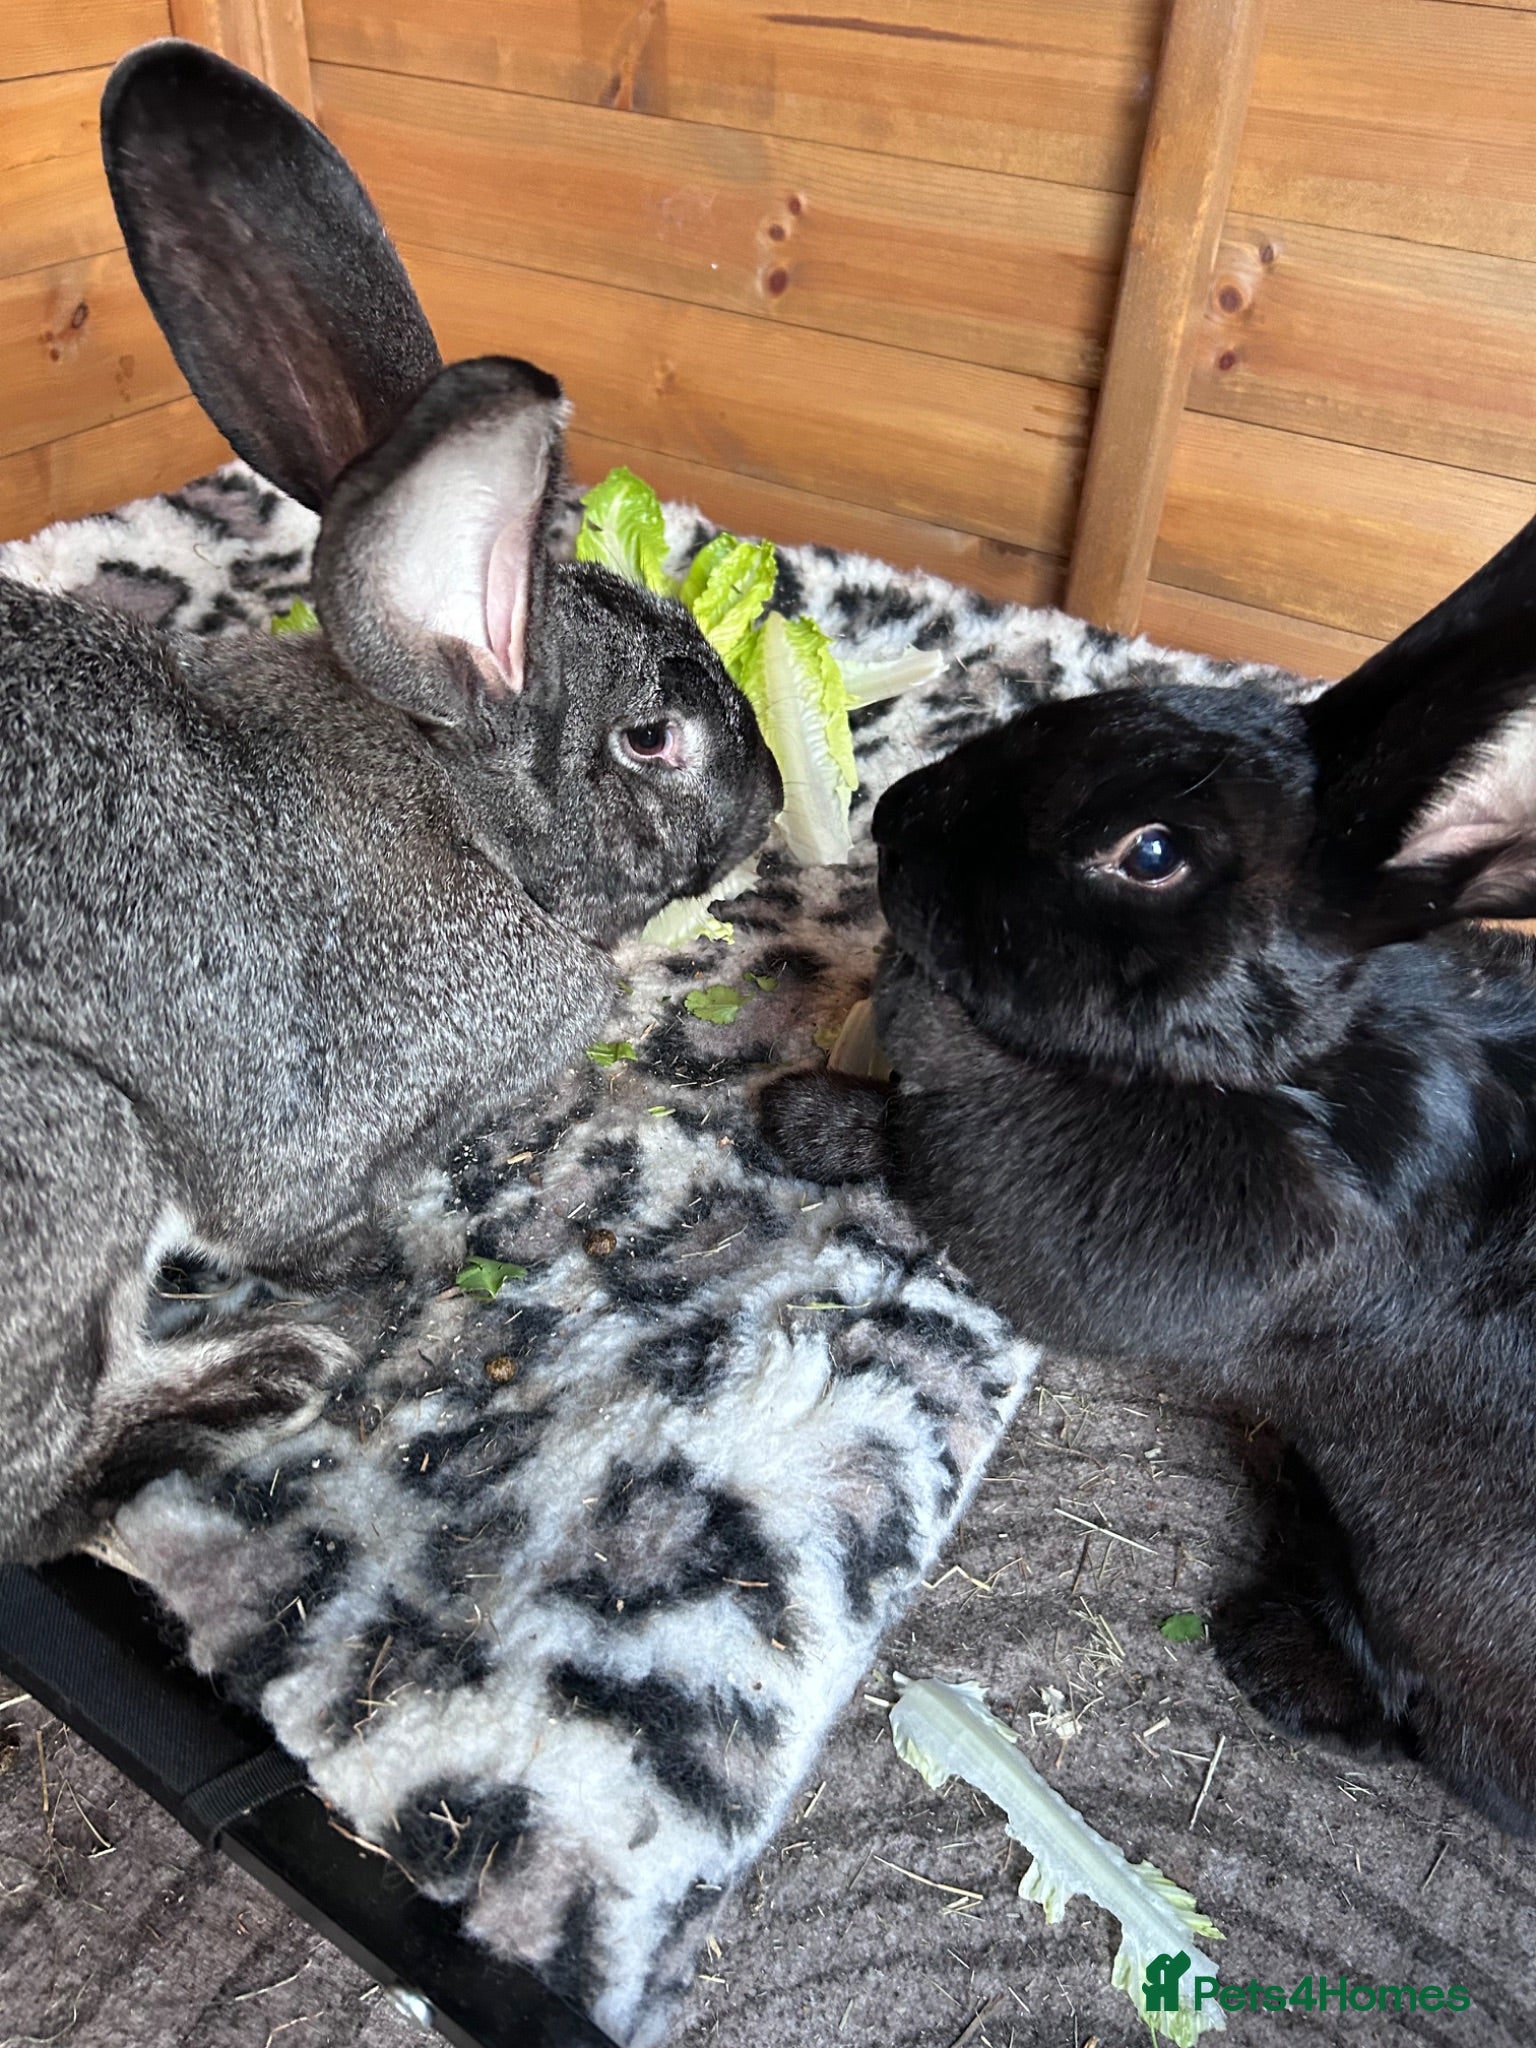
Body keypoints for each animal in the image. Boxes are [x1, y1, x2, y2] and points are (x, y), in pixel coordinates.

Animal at [0, 40, 779, 1563]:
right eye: (653, 738)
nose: (776, 800)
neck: (465, 817)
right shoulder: (305, 1153)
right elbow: (317, 1227)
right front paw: (389, 1277)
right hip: (70, 1141)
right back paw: (262, 1375)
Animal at [760, 510, 1536, 1833]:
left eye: (1154, 851)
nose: (898, 819)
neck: (1294, 1071)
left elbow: (920, 1150)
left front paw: (803, 1110)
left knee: (1426, 1731)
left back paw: (1272, 1651)